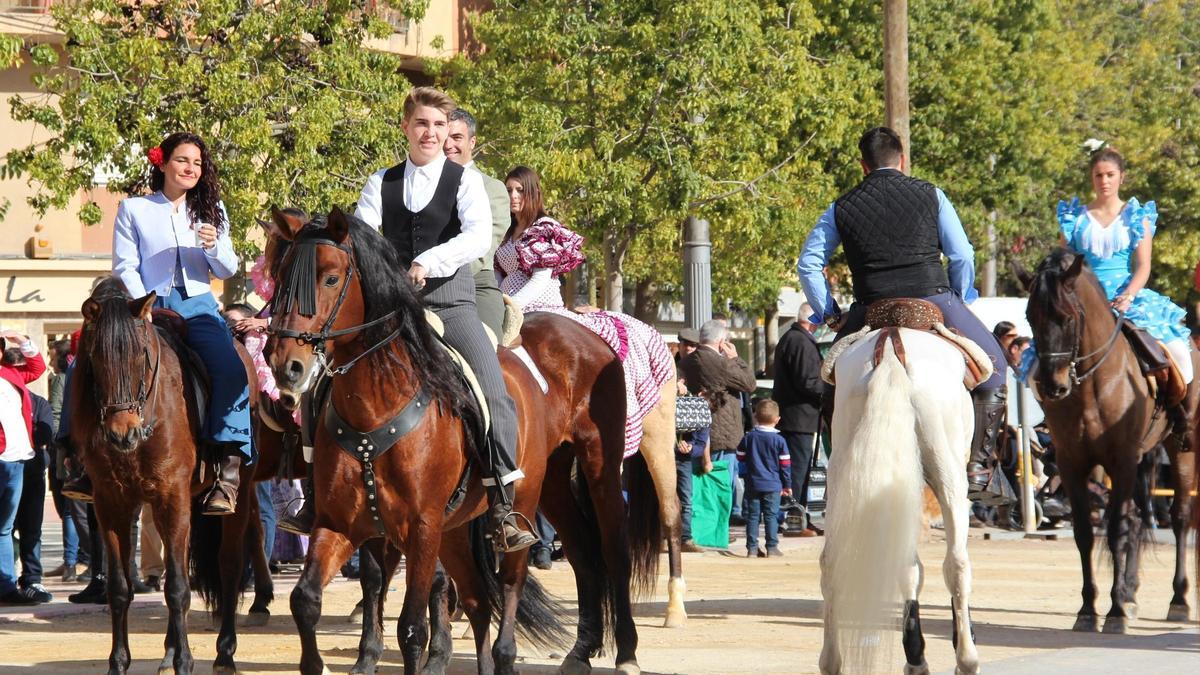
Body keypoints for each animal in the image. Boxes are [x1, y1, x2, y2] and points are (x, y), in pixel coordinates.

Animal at [70, 278, 260, 672]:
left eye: (141, 355)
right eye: (95, 359)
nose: (122, 434)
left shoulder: (171, 496)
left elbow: (176, 587)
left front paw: (186, 662)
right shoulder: (111, 503)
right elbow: (119, 588)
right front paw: (118, 662)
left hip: (238, 497)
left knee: (230, 566)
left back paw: (224, 653)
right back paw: (170, 650)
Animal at [266, 206, 681, 672]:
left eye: (331, 278)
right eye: (281, 276)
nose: (284, 364)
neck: (378, 406)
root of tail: (588, 334)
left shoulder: (421, 528)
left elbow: (412, 625)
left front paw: (419, 653)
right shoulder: (341, 523)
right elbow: (307, 599)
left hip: (586, 475)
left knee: (580, 560)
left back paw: (618, 650)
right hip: (544, 486)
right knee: (555, 565)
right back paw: (578, 650)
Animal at [820, 324, 988, 667]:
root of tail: (890, 347)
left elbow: (909, 570)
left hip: (844, 477)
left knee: (832, 563)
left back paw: (833, 661)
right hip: (949, 476)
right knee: (957, 564)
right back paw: (966, 657)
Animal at [1017, 247, 1195, 629]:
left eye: (1067, 317)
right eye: (1030, 316)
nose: (1053, 386)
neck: (1093, 386)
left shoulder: (1121, 461)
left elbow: (1115, 531)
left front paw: (1113, 613)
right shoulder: (1073, 464)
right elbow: (1086, 533)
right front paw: (1089, 609)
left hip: (1180, 450)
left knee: (1179, 517)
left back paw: (1178, 599)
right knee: (1139, 519)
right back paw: (1130, 592)